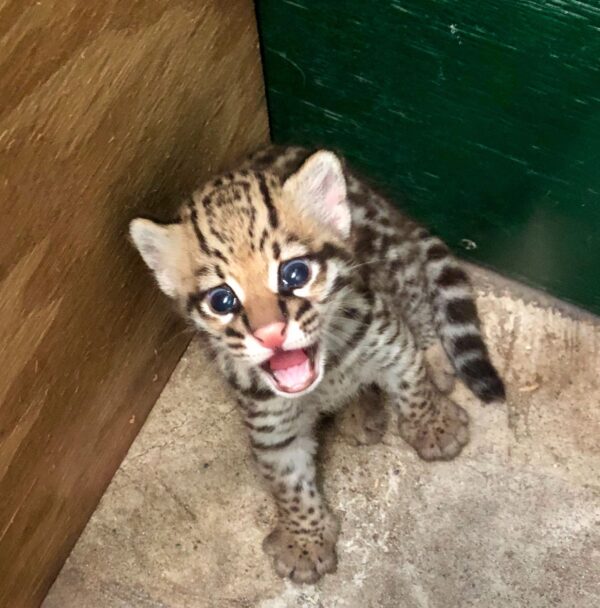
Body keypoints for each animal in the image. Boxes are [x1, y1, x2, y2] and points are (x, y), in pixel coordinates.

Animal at [129, 144, 504, 584]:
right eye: (222, 300)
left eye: (295, 274)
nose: (270, 333)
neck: (327, 373)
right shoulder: (270, 424)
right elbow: (288, 483)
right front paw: (304, 540)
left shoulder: (389, 338)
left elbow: (412, 384)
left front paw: (434, 425)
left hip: (396, 260)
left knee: (420, 306)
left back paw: (429, 368)